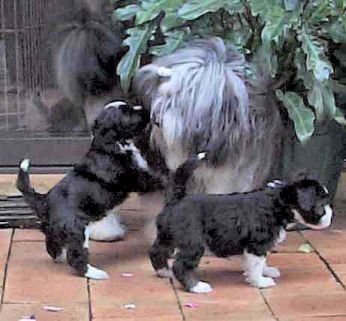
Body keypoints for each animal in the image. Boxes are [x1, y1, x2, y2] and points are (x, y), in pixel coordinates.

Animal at [16, 100, 162, 278]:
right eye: (127, 111)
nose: (147, 109)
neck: (110, 143)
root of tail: (44, 201)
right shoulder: (138, 177)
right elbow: (159, 178)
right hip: (77, 229)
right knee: (76, 257)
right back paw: (96, 273)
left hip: (53, 230)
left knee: (51, 245)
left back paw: (60, 257)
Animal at [150, 165, 334, 292]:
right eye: (321, 204)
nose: (332, 216)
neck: (278, 200)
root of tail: (176, 201)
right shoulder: (257, 244)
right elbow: (257, 264)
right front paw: (260, 281)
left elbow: (260, 262)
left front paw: (267, 271)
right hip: (193, 244)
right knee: (181, 265)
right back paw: (197, 287)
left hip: (167, 236)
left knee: (156, 251)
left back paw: (164, 272)